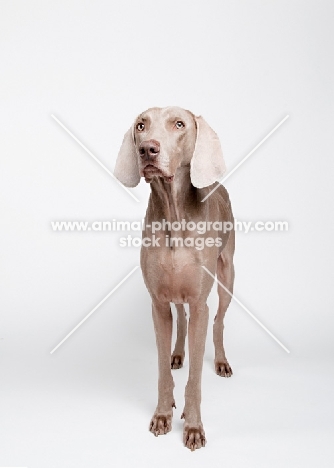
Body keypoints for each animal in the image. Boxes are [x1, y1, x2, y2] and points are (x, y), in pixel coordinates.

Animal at [115, 106, 235, 450]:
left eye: (179, 124)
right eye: (141, 126)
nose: (147, 150)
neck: (173, 214)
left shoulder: (199, 303)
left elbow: (195, 377)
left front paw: (193, 426)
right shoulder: (157, 303)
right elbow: (160, 369)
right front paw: (162, 414)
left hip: (227, 276)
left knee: (219, 320)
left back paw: (221, 361)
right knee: (180, 318)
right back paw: (178, 353)